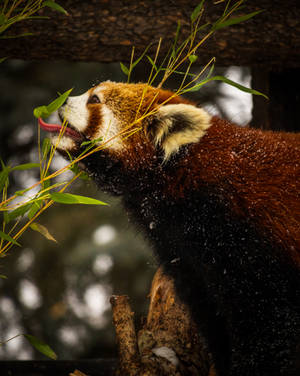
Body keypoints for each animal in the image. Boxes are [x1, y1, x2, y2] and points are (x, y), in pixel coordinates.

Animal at [38, 81, 300, 374]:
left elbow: (266, 321)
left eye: (94, 99)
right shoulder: (182, 251)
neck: (182, 176)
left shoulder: (250, 237)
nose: (61, 101)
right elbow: (209, 314)